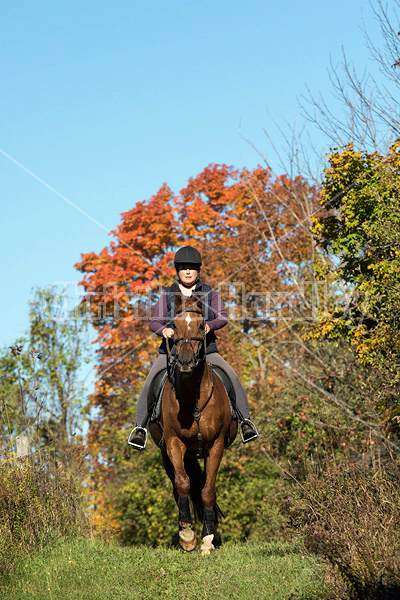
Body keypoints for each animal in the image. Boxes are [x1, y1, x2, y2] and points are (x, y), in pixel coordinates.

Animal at [150, 290, 238, 552]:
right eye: (174, 326)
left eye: (200, 326)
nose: (186, 361)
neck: (193, 396)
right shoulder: (173, 443)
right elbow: (183, 484)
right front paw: (187, 535)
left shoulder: (216, 445)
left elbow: (208, 491)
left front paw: (208, 539)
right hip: (167, 455)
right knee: (178, 488)